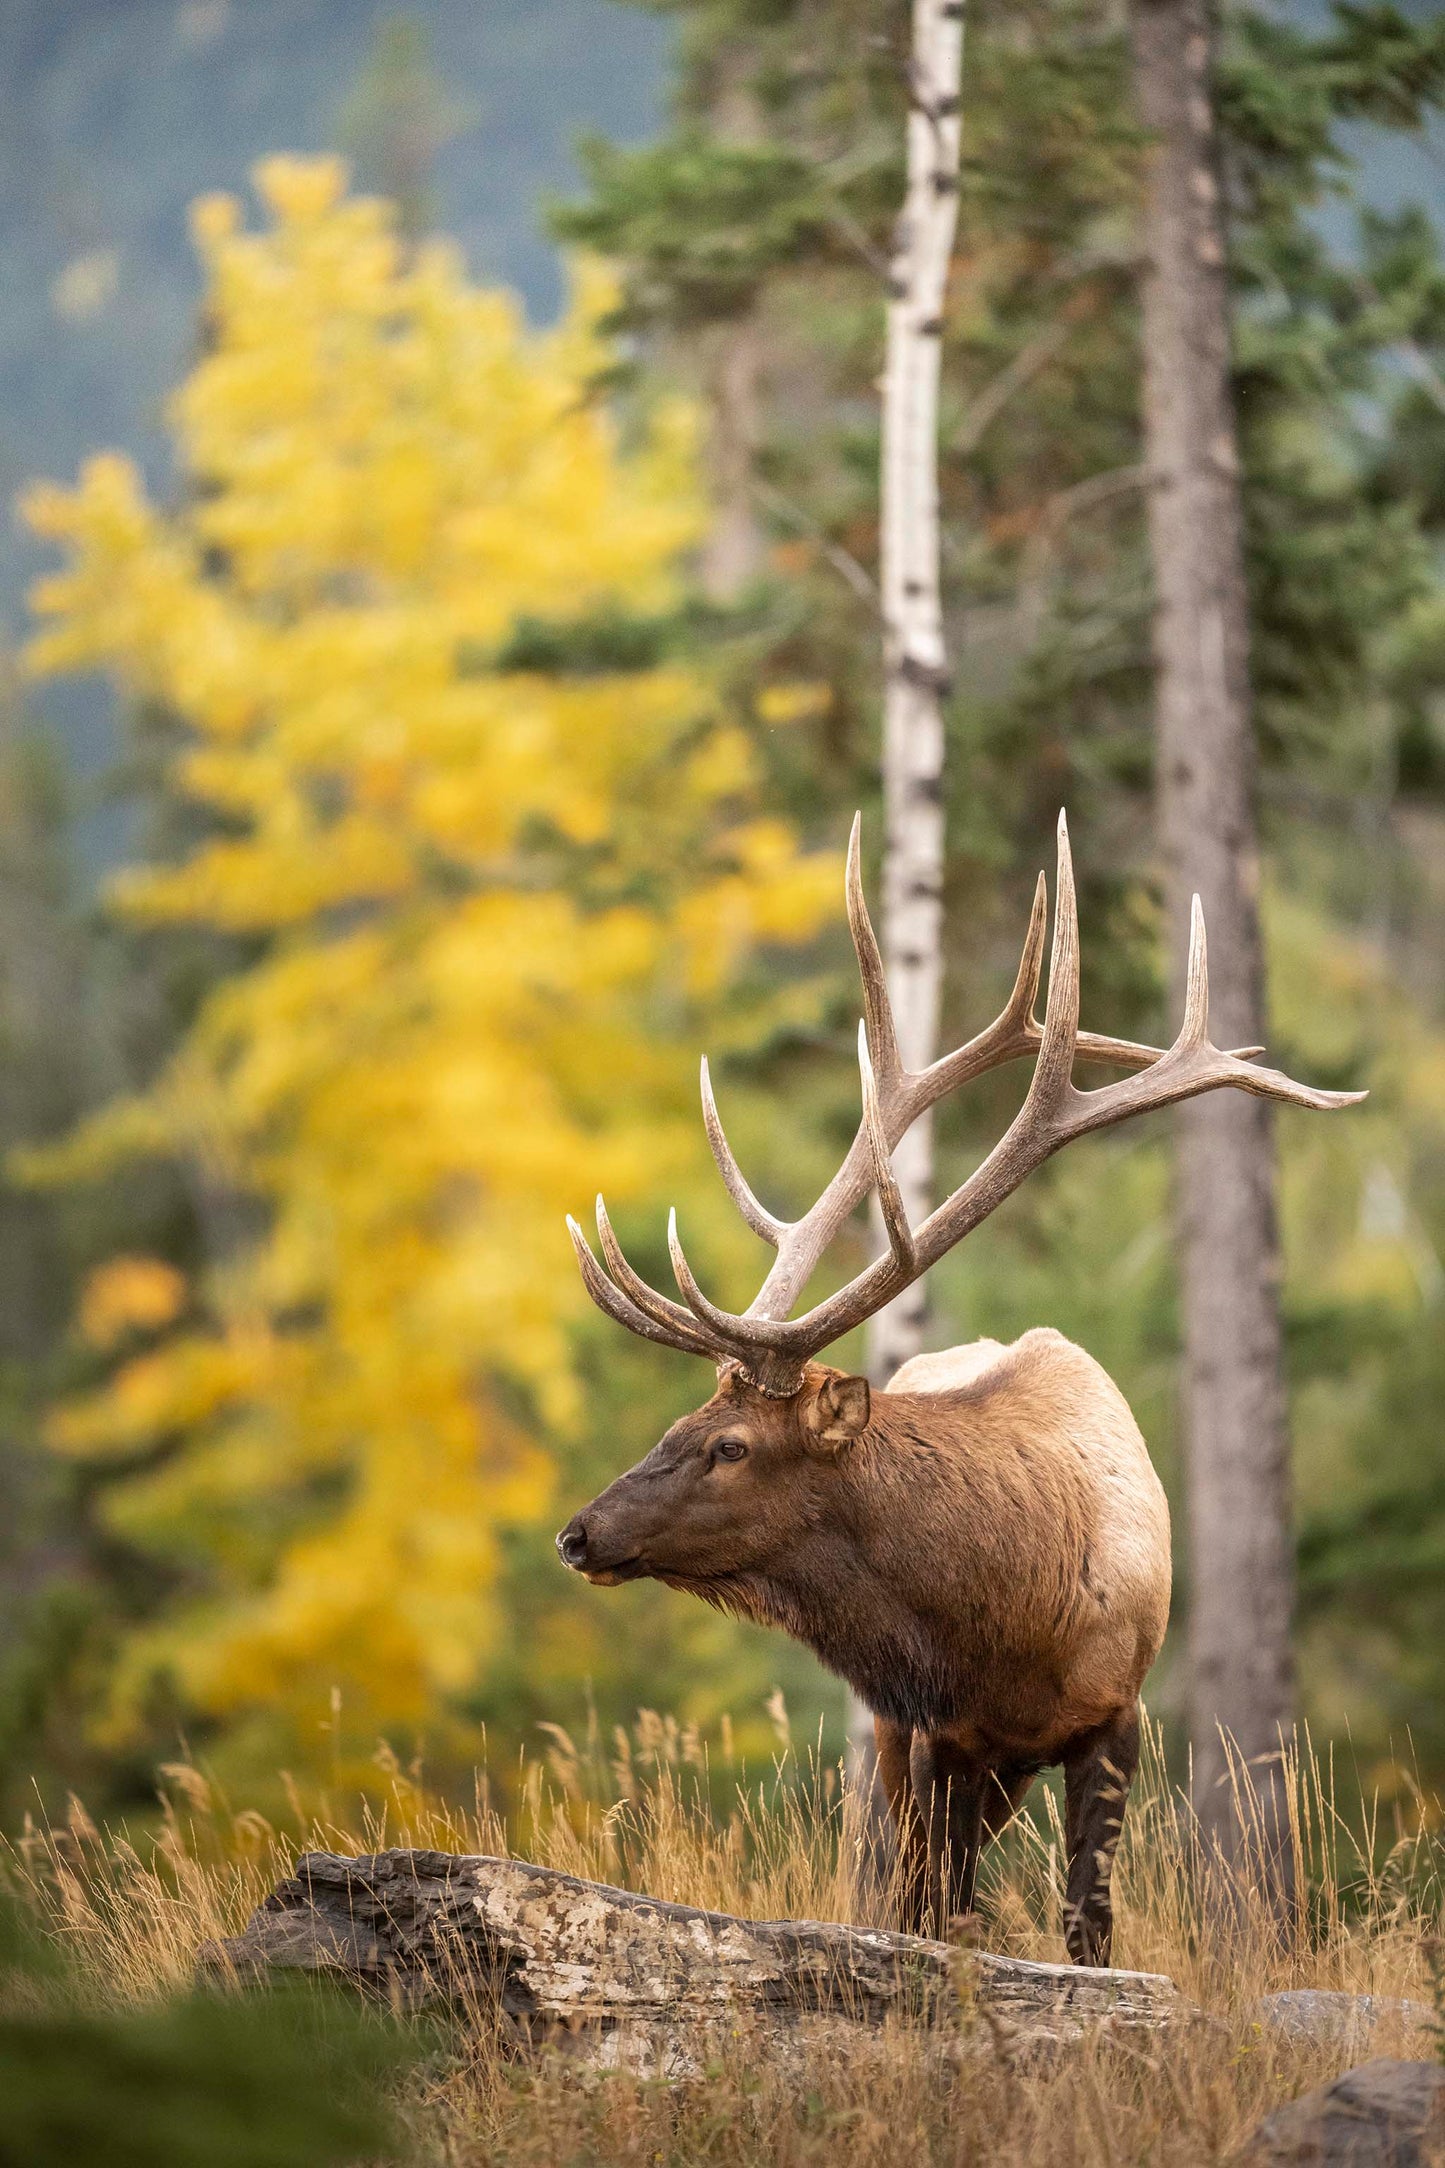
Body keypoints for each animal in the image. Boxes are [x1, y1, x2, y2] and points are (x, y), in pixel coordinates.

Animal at [556, 814, 1361, 1963]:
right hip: (902, 1750)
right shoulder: (937, 1731)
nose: (579, 1533)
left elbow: (1084, 1922)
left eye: (729, 1445)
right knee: (895, 1879)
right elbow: (936, 1917)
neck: (1011, 1618)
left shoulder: (1115, 1712)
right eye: (683, 1419)